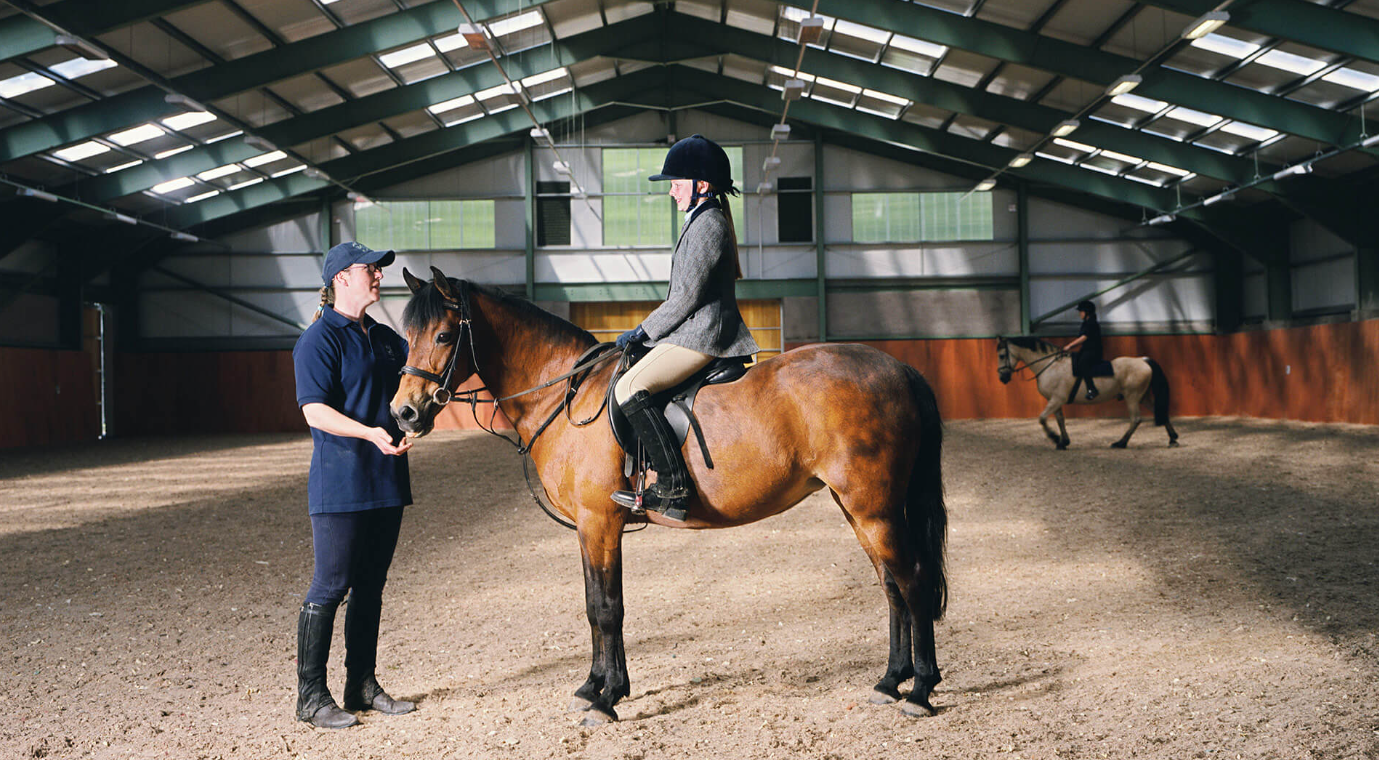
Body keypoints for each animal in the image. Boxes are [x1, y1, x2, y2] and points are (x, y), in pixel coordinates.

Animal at [389, 267, 948, 725]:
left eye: (443, 335)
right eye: (406, 337)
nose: (404, 413)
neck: (568, 394)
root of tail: (898, 368)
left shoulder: (599, 521)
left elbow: (606, 608)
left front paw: (605, 700)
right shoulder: (593, 527)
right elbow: (597, 604)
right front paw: (596, 687)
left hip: (873, 509)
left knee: (913, 581)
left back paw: (920, 691)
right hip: (857, 507)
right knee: (892, 585)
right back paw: (889, 682)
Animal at [996, 336, 1179, 450]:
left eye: (1002, 355)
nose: (1002, 378)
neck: (1050, 365)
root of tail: (1142, 360)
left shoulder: (1056, 399)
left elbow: (1042, 418)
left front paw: (1054, 438)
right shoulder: (1055, 400)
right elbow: (1060, 420)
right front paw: (1063, 442)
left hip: (1132, 397)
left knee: (1136, 419)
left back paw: (1120, 443)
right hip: (1143, 396)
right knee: (1160, 412)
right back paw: (1172, 439)